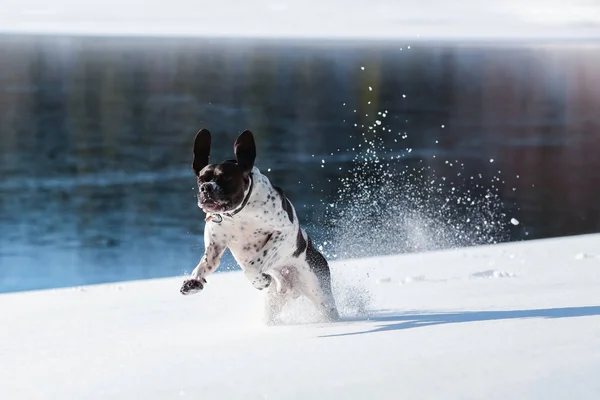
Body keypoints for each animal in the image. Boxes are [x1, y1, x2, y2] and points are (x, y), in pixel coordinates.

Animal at [178, 130, 340, 324]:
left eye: (226, 178)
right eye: (201, 179)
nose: (206, 188)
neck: (238, 214)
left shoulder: (283, 232)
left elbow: (252, 266)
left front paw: (261, 280)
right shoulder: (214, 247)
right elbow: (204, 264)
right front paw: (194, 281)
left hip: (320, 293)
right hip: (272, 305)